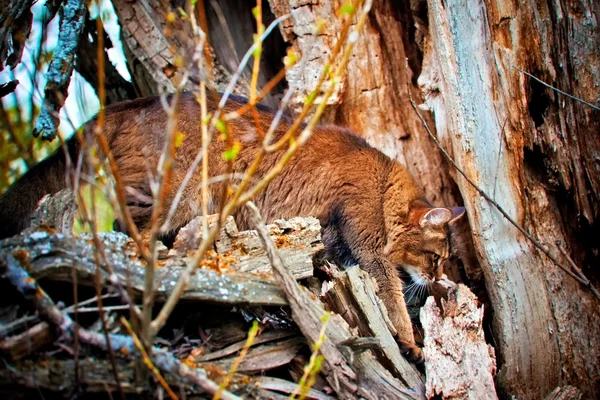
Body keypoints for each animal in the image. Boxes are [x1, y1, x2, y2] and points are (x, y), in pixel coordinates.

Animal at [0, 94, 464, 362]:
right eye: (436, 258)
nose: (440, 279)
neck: (384, 181)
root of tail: (122, 105)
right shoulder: (368, 249)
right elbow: (393, 301)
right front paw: (411, 342)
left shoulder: (338, 246)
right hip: (180, 197)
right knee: (126, 227)